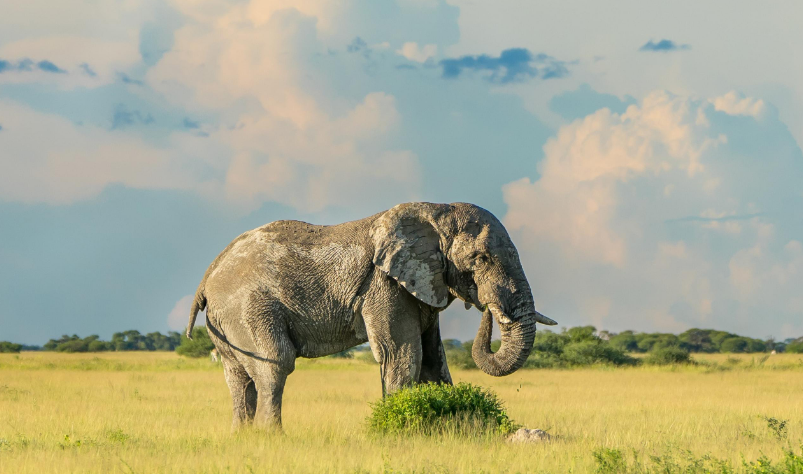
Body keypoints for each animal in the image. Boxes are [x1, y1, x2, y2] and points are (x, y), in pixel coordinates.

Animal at [185, 202, 556, 430]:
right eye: (480, 260)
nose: (488, 310)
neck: (435, 211)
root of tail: (208, 275)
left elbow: (433, 360)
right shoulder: (384, 286)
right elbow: (403, 355)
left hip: (226, 320)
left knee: (237, 378)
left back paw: (243, 437)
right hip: (248, 307)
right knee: (275, 364)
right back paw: (272, 437)